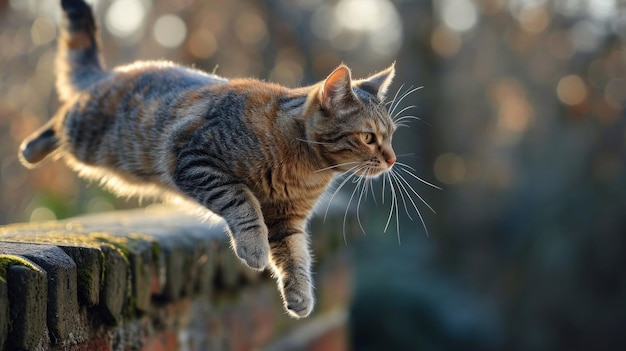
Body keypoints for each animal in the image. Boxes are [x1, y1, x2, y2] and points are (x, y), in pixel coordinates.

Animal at [20, 0, 400, 320]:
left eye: (391, 134)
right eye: (369, 137)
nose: (392, 159)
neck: (306, 169)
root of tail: (112, 72)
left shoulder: (288, 219)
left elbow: (296, 257)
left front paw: (300, 295)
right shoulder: (196, 159)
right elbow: (243, 203)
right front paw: (254, 248)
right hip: (86, 135)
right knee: (59, 119)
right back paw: (30, 149)